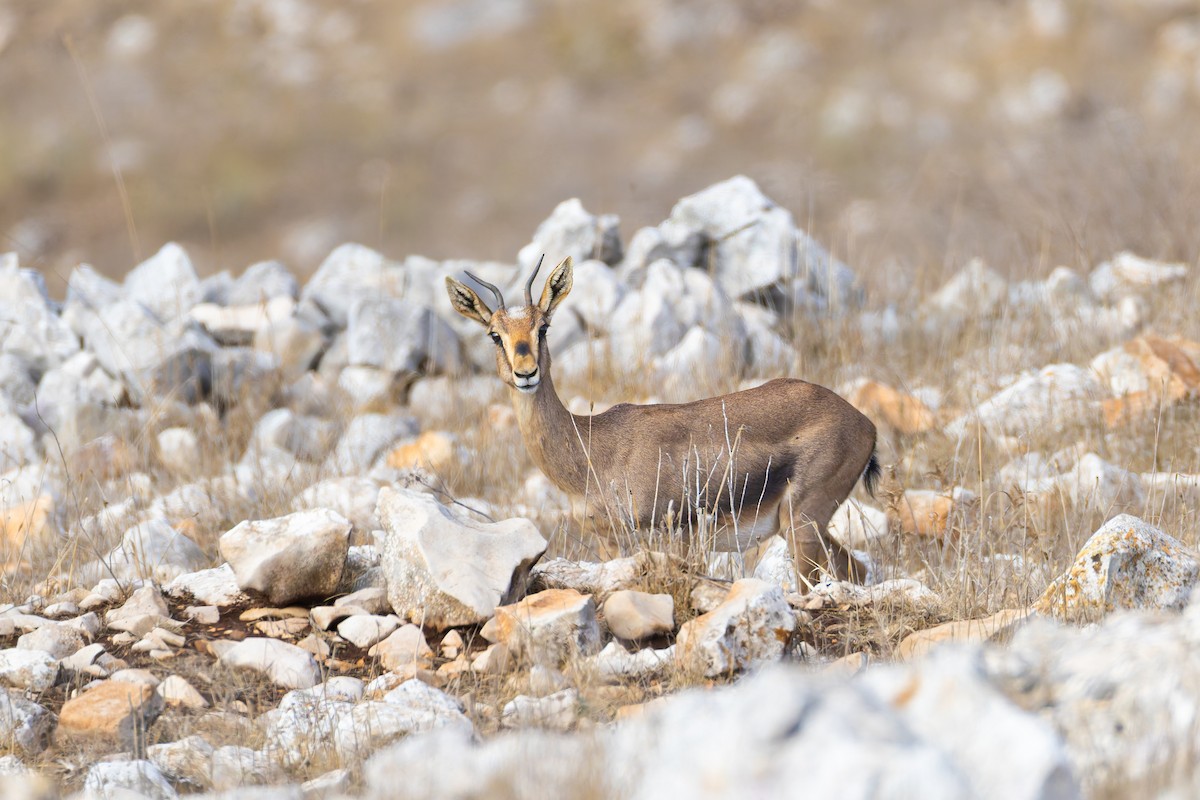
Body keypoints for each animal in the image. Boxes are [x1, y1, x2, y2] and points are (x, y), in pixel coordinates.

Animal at [445, 256, 880, 586]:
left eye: (543, 327)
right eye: (494, 334)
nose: (526, 373)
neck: (593, 449)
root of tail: (864, 423)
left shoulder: (672, 535)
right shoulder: (609, 540)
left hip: (800, 524)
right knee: (856, 571)